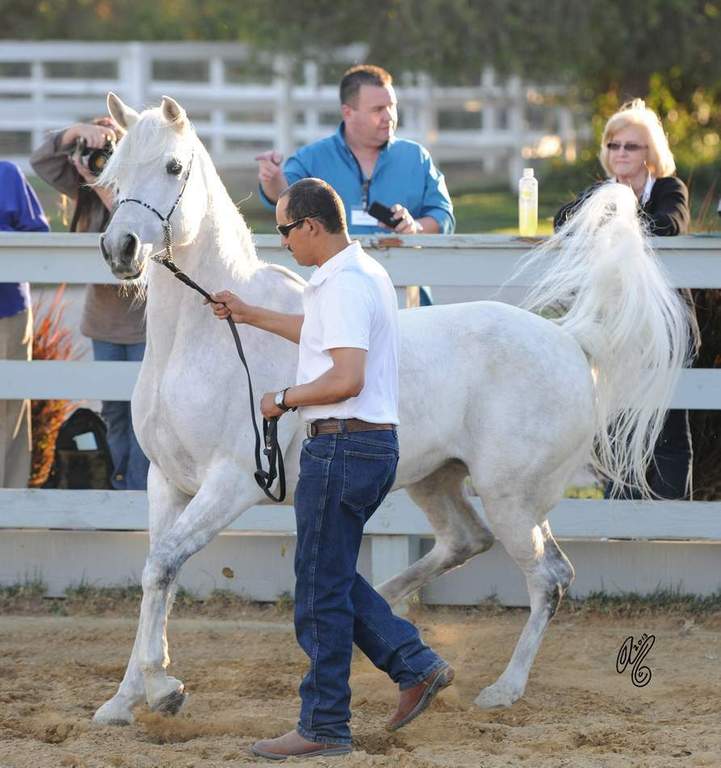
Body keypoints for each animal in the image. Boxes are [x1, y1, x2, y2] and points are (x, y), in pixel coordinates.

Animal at [93, 92, 694, 725]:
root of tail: (571, 342)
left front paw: (160, 687)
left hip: (511, 497)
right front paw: (125, 699)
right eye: (113, 174)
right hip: (441, 480)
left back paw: (502, 689)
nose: (120, 249)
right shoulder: (166, 481)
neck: (203, 341)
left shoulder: (230, 484)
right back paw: (387, 615)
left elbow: (162, 566)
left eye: (173, 167)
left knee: (548, 578)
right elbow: (154, 574)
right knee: (466, 542)